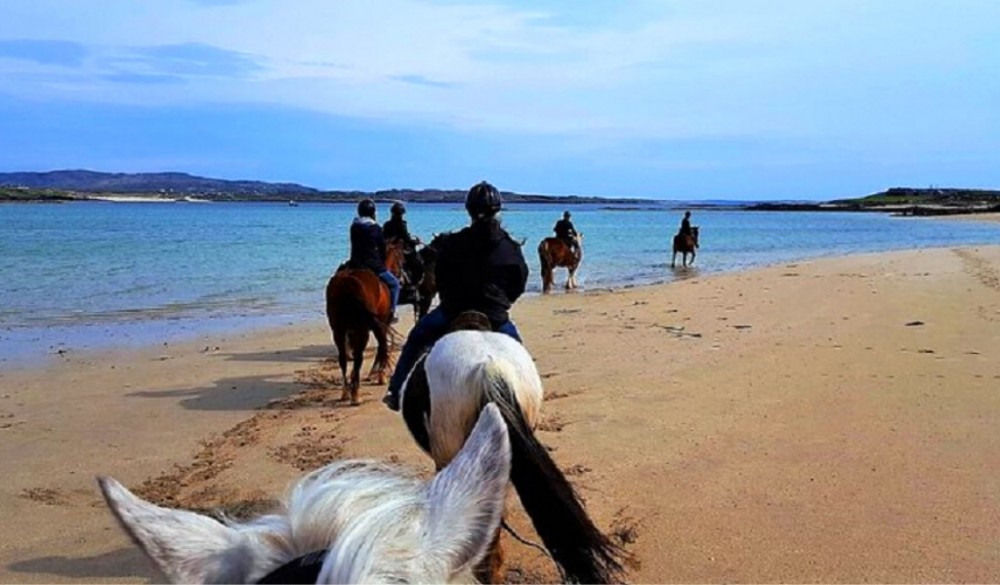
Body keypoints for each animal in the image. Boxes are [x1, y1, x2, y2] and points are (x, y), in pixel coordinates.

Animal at [328, 240, 406, 404]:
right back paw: (355, 394)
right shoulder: (382, 325)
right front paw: (381, 375)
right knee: (359, 357)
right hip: (362, 329)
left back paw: (346, 391)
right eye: (400, 257)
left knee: (343, 358)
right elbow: (382, 347)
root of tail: (347, 281)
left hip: (339, 329)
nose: (401, 279)